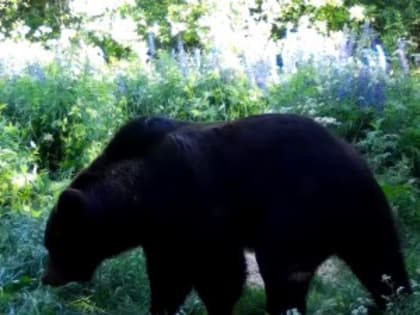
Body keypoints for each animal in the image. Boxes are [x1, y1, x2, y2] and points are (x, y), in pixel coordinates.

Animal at [41, 114, 410, 315]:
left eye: (54, 242)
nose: (48, 277)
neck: (140, 198)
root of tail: (352, 155)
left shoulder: (198, 211)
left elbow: (220, 274)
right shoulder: (164, 234)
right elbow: (167, 278)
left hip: (299, 211)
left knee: (284, 273)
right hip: (363, 214)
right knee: (382, 264)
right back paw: (397, 300)